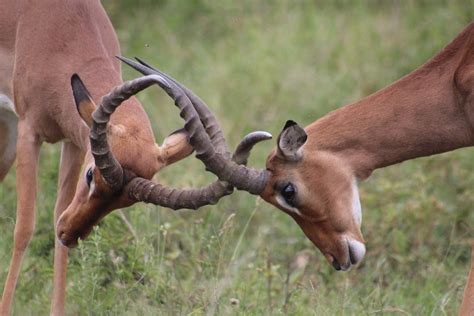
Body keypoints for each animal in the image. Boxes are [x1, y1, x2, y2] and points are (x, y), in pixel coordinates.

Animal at [0, 1, 270, 314]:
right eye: (91, 175)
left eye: (125, 201)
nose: (69, 233)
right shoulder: (29, 131)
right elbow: (24, 228)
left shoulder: (73, 142)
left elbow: (57, 213)